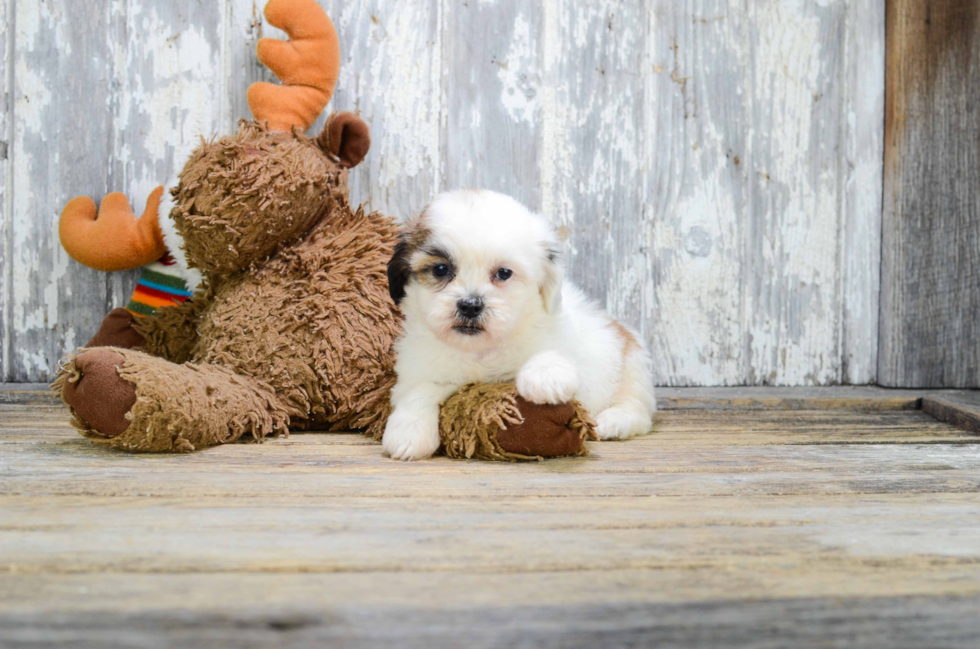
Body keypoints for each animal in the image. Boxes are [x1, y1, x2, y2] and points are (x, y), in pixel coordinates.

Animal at [384, 189, 660, 460]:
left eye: (504, 273)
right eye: (440, 269)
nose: (470, 305)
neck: (480, 350)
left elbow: (550, 352)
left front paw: (546, 377)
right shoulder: (418, 369)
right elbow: (420, 389)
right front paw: (408, 433)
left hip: (632, 363)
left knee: (637, 406)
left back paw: (614, 421)